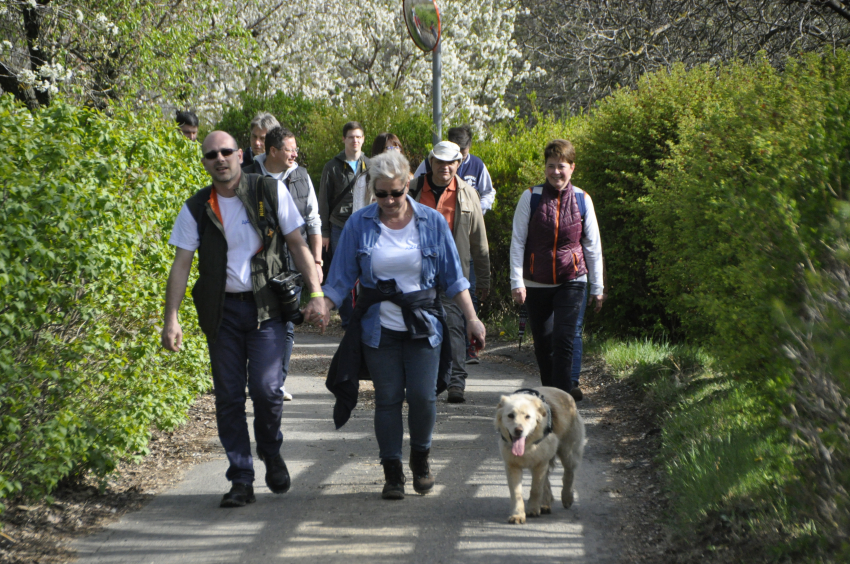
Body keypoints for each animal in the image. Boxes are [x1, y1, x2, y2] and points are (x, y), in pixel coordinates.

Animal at [490, 388, 584, 524]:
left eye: (527, 417)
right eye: (510, 415)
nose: (518, 430)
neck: (528, 444)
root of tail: (567, 394)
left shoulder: (540, 464)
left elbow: (536, 488)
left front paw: (533, 509)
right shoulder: (512, 466)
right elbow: (517, 494)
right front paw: (518, 515)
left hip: (568, 453)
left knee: (569, 473)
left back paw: (567, 497)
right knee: (547, 482)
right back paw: (545, 504)